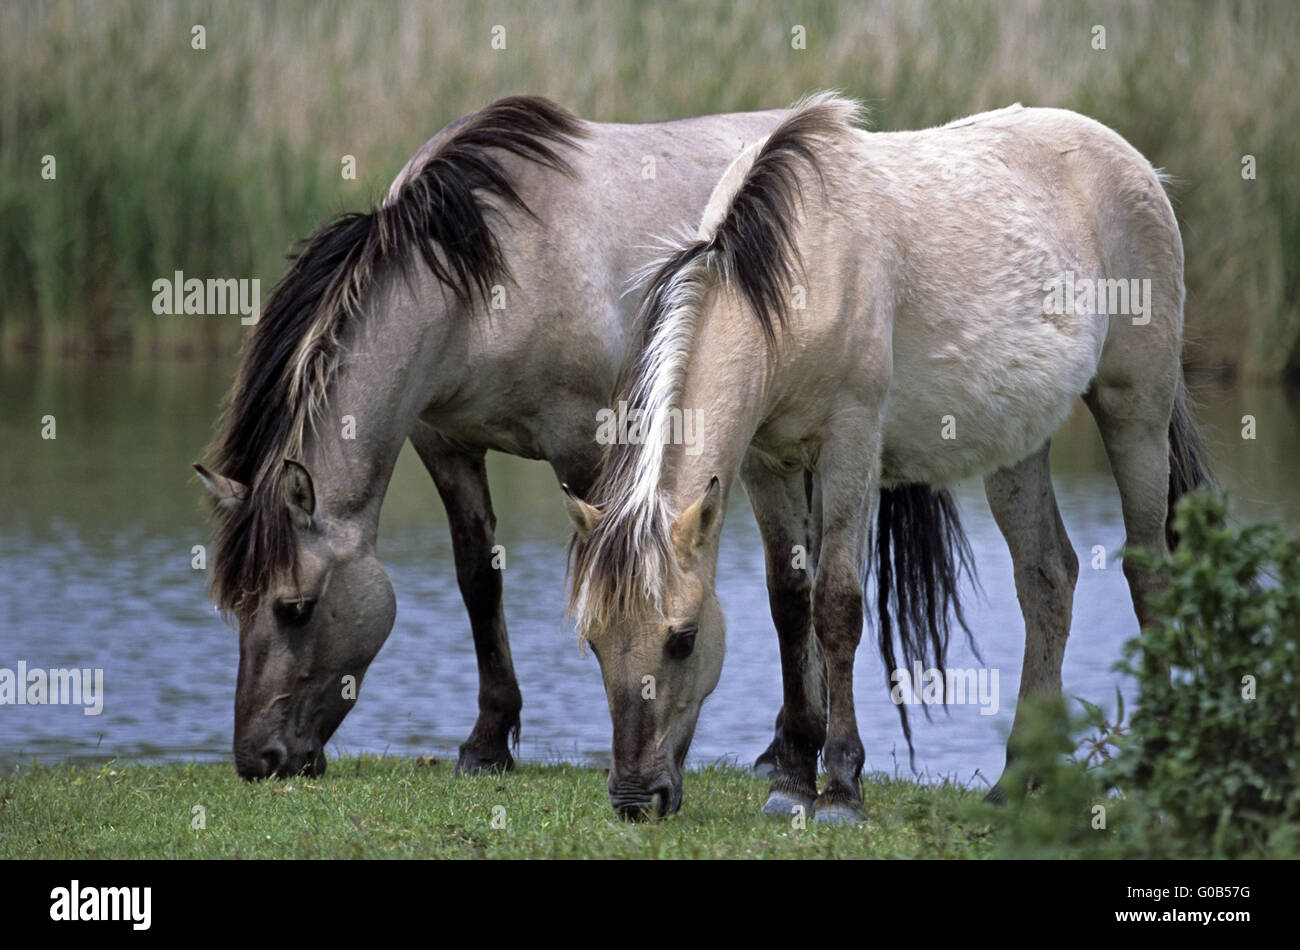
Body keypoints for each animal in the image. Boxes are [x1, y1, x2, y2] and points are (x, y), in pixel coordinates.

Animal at [192, 94, 780, 779]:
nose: (259, 759)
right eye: (235, 607)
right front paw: (487, 742)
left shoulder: (587, 445)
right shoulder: (443, 443)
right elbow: (478, 578)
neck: (484, 287)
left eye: (296, 607)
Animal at [564, 94, 1211, 826]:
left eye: (683, 638)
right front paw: (792, 778)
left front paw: (841, 787)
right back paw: (1014, 782)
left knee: (1146, 567)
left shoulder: (849, 445)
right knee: (1047, 578)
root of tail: (1137, 166)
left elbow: (837, 605)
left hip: (1136, 409)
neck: (797, 271)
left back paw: (1154, 769)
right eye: (593, 639)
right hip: (1019, 447)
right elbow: (790, 603)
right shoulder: (766, 463)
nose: (635, 798)